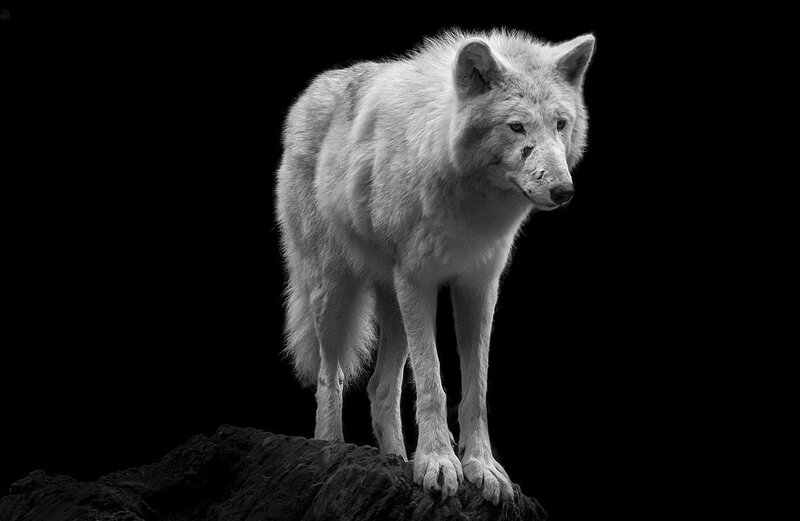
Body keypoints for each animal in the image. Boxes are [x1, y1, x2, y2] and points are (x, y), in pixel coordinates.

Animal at [275, 29, 594, 504]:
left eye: (561, 124)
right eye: (517, 126)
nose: (562, 191)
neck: (469, 201)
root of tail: (315, 89)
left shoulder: (479, 285)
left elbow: (475, 389)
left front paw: (482, 468)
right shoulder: (418, 281)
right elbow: (432, 382)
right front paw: (439, 463)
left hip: (392, 302)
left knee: (379, 387)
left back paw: (395, 459)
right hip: (333, 291)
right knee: (331, 378)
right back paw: (331, 446)